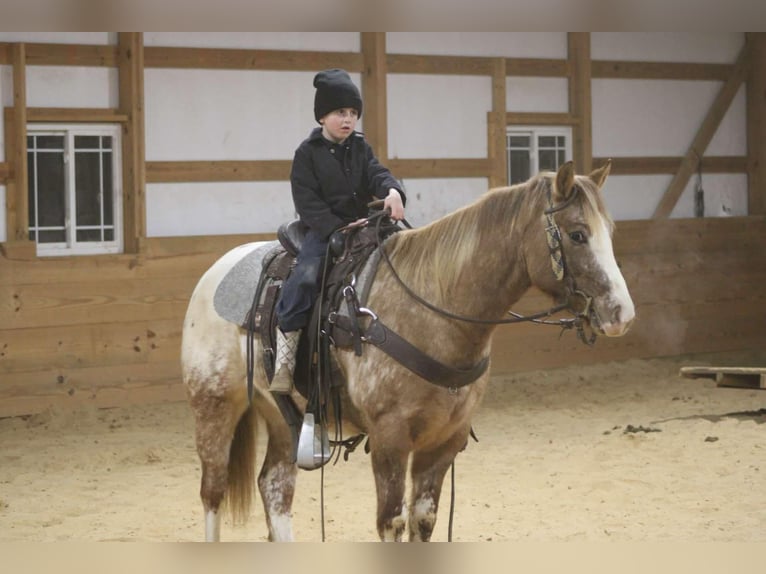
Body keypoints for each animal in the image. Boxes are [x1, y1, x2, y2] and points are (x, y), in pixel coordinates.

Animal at [182, 161, 636, 544]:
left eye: (610, 232)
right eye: (577, 234)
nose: (622, 313)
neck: (434, 309)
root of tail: (216, 271)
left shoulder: (445, 441)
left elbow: (423, 521)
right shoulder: (390, 438)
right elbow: (392, 522)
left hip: (282, 415)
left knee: (274, 488)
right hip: (214, 405)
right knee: (212, 492)